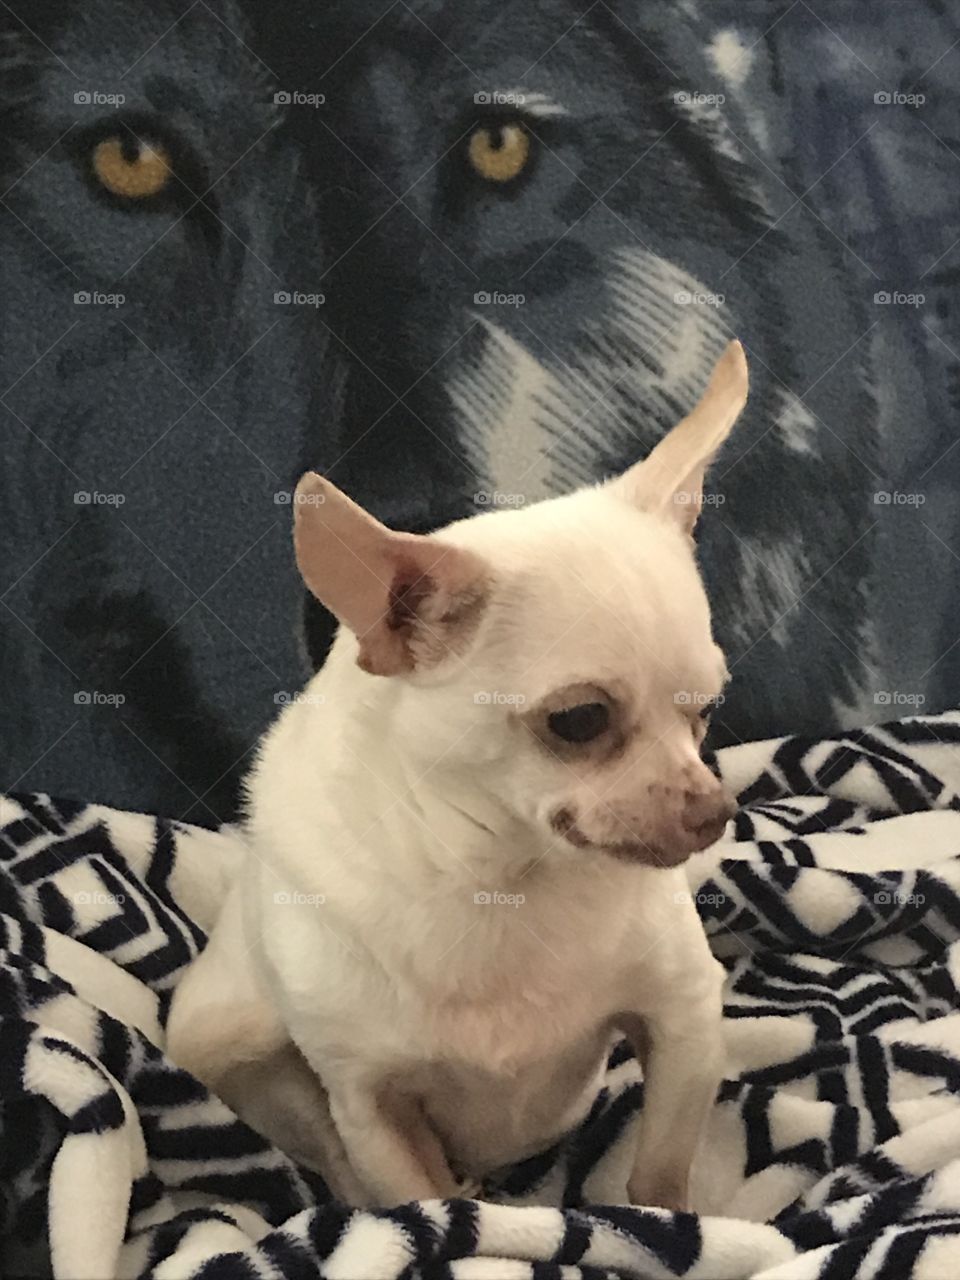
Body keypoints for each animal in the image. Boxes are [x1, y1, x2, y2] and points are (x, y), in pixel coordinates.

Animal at [168, 340, 747, 1208]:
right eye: (580, 721)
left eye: (705, 711)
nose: (714, 812)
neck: (503, 878)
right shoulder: (369, 1103)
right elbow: (419, 1201)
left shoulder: (686, 1019)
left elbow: (659, 1172)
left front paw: (670, 1224)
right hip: (224, 1035)